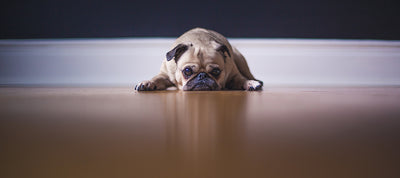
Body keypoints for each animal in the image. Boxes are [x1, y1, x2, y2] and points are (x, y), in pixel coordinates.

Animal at [136, 28, 264, 92]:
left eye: (216, 72)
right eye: (187, 71)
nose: (202, 75)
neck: (199, 42)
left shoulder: (234, 75)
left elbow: (242, 79)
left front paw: (250, 83)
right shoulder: (164, 75)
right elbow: (156, 78)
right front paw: (147, 83)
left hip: (240, 60)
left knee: (248, 74)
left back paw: (256, 81)